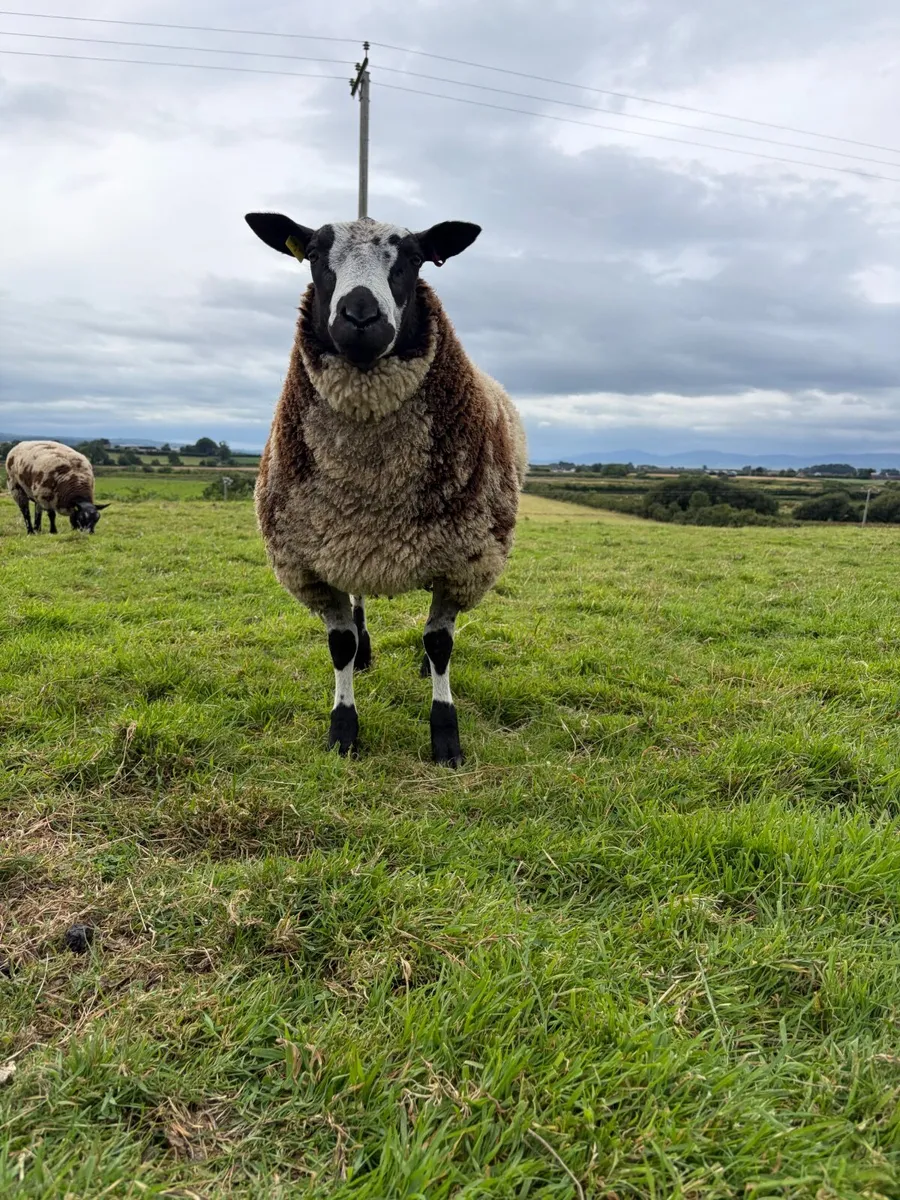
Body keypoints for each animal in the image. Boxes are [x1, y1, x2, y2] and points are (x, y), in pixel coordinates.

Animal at [245, 211, 527, 766]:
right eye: (313, 254)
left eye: (415, 258)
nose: (359, 316)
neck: (373, 482)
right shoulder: (315, 561)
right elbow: (340, 647)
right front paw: (342, 730)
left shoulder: (463, 561)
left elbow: (440, 645)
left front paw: (445, 735)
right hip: (349, 543)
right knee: (359, 607)